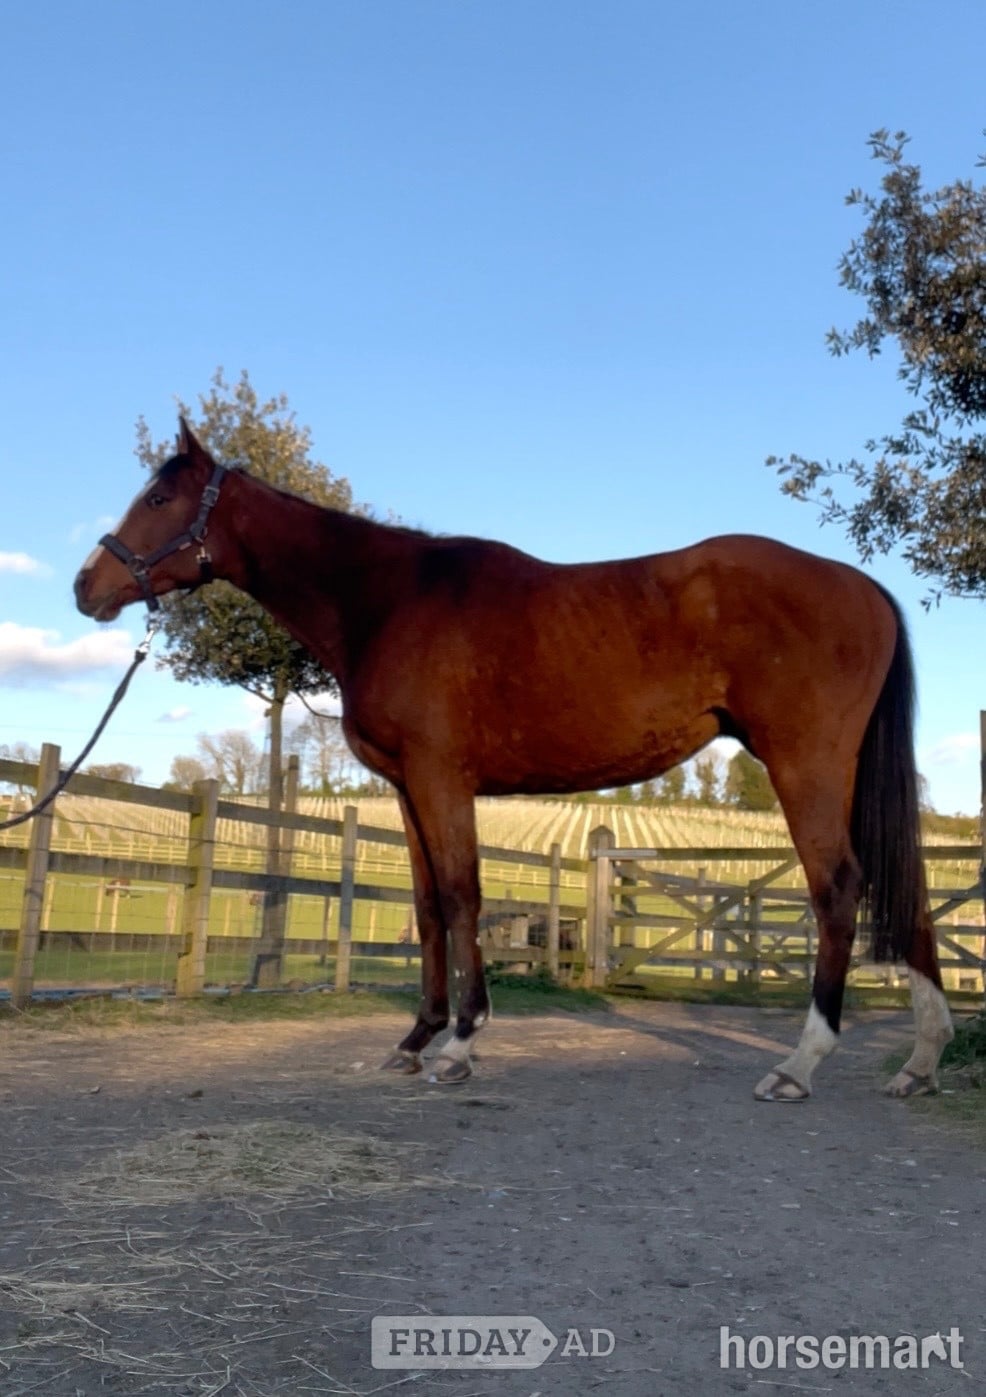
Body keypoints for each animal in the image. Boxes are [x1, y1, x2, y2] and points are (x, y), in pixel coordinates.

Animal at [74, 419, 953, 1097]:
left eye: (159, 499)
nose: (88, 585)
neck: (386, 599)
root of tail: (863, 587)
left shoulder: (441, 778)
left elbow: (463, 895)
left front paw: (461, 1043)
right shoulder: (407, 788)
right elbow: (428, 906)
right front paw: (415, 1039)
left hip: (805, 766)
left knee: (838, 888)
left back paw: (801, 1063)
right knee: (901, 887)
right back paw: (921, 1058)